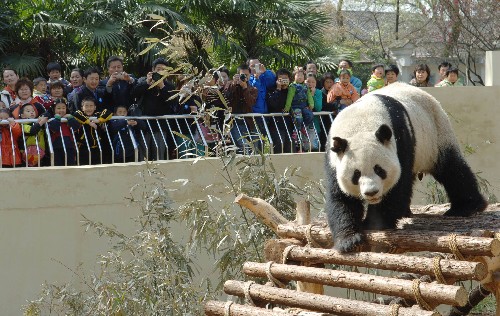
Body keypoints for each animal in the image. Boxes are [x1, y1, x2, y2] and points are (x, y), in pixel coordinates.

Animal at [326, 82, 486, 253]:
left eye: (379, 170)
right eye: (356, 175)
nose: (371, 192)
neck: (360, 124)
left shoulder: (400, 139)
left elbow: (397, 187)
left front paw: (373, 223)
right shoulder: (334, 156)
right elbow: (341, 198)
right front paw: (349, 240)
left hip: (435, 134)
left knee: (452, 170)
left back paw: (466, 207)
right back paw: (405, 211)